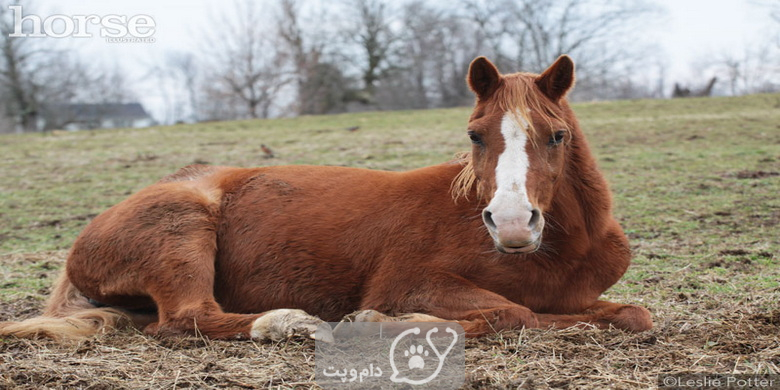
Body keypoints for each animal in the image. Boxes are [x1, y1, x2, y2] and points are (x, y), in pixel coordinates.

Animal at [0, 54, 652, 342]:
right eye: (475, 135)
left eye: (557, 136)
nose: (513, 223)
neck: (552, 257)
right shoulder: (410, 281)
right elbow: (511, 312)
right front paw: (379, 321)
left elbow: (630, 315)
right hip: (182, 229)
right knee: (188, 317)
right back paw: (287, 322)